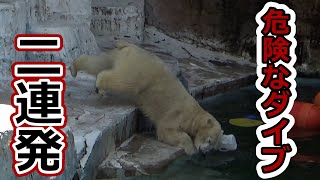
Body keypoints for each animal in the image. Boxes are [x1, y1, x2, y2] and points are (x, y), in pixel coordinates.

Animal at [71, 41, 224, 155]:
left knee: (100, 62)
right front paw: (191, 149)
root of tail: (129, 46)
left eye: (214, 146)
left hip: (119, 57)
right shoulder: (177, 115)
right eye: (209, 140)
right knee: (123, 80)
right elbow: (166, 130)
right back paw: (100, 86)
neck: (194, 114)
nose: (204, 153)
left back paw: (74, 68)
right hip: (138, 71)